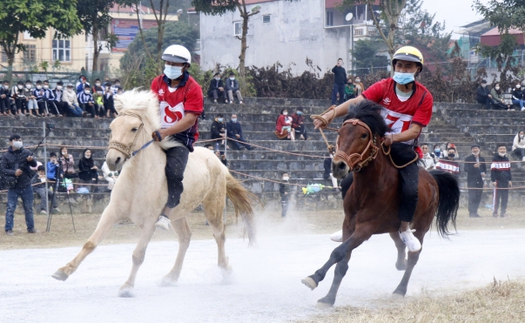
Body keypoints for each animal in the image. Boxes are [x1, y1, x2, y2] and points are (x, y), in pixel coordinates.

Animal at [51, 90, 256, 298]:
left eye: (134, 128)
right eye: (112, 126)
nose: (112, 160)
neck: (137, 180)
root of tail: (219, 162)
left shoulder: (150, 222)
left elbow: (138, 255)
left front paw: (127, 287)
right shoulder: (111, 213)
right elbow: (90, 243)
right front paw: (63, 271)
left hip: (212, 206)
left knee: (219, 235)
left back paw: (226, 272)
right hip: (177, 214)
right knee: (185, 238)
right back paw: (170, 277)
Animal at [300, 100, 456, 306]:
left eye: (364, 135)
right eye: (340, 133)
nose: (338, 165)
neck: (370, 188)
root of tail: (433, 178)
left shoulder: (366, 228)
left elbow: (338, 252)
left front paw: (314, 278)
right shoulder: (348, 224)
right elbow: (342, 263)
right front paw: (329, 297)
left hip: (423, 224)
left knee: (413, 257)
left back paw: (400, 289)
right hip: (392, 227)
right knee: (399, 244)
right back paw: (400, 261)